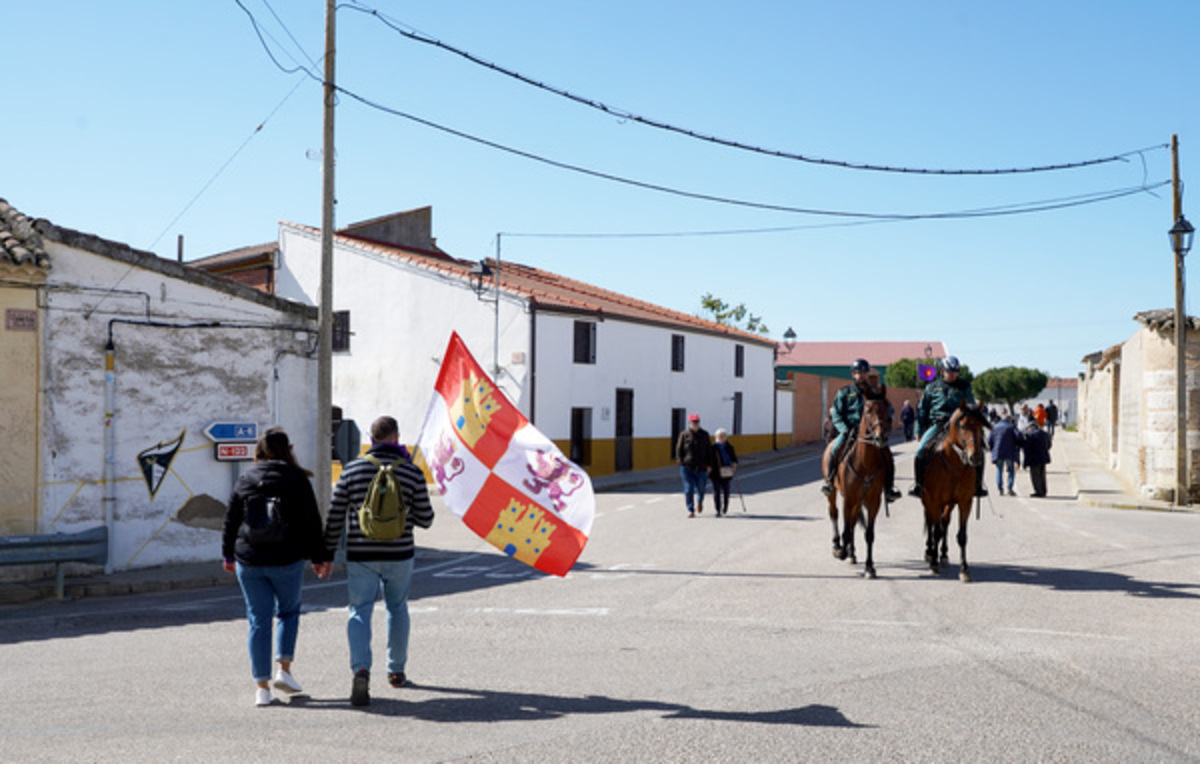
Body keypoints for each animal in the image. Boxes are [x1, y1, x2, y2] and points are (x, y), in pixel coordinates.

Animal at [825, 393, 892, 578]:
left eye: (887, 410)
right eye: (868, 411)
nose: (881, 437)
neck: (865, 463)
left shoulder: (873, 501)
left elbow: (868, 533)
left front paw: (869, 567)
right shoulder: (848, 499)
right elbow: (846, 530)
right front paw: (841, 551)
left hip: (857, 501)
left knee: (854, 523)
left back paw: (852, 553)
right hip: (833, 493)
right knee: (834, 514)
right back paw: (837, 546)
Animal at [921, 402, 988, 580]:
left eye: (980, 426)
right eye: (963, 426)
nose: (975, 457)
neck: (954, 465)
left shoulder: (965, 502)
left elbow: (962, 536)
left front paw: (964, 569)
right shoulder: (935, 500)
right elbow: (936, 531)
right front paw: (933, 563)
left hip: (949, 504)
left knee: (944, 522)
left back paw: (943, 555)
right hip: (927, 501)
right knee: (931, 523)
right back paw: (930, 552)